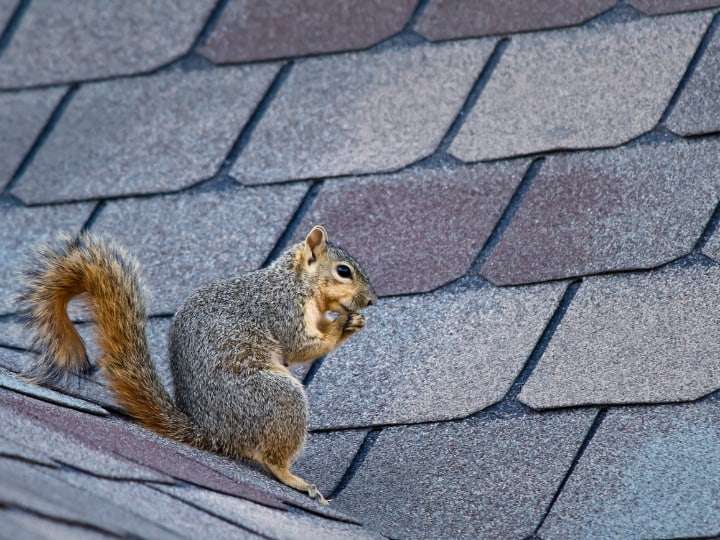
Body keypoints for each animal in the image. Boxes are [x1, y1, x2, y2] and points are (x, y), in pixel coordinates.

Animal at [18, 226, 376, 504]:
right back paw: (295, 479)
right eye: (344, 271)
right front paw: (342, 326)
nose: (371, 300)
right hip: (277, 397)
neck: (296, 282)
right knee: (273, 458)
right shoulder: (282, 310)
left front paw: (350, 320)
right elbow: (300, 345)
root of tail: (212, 433)